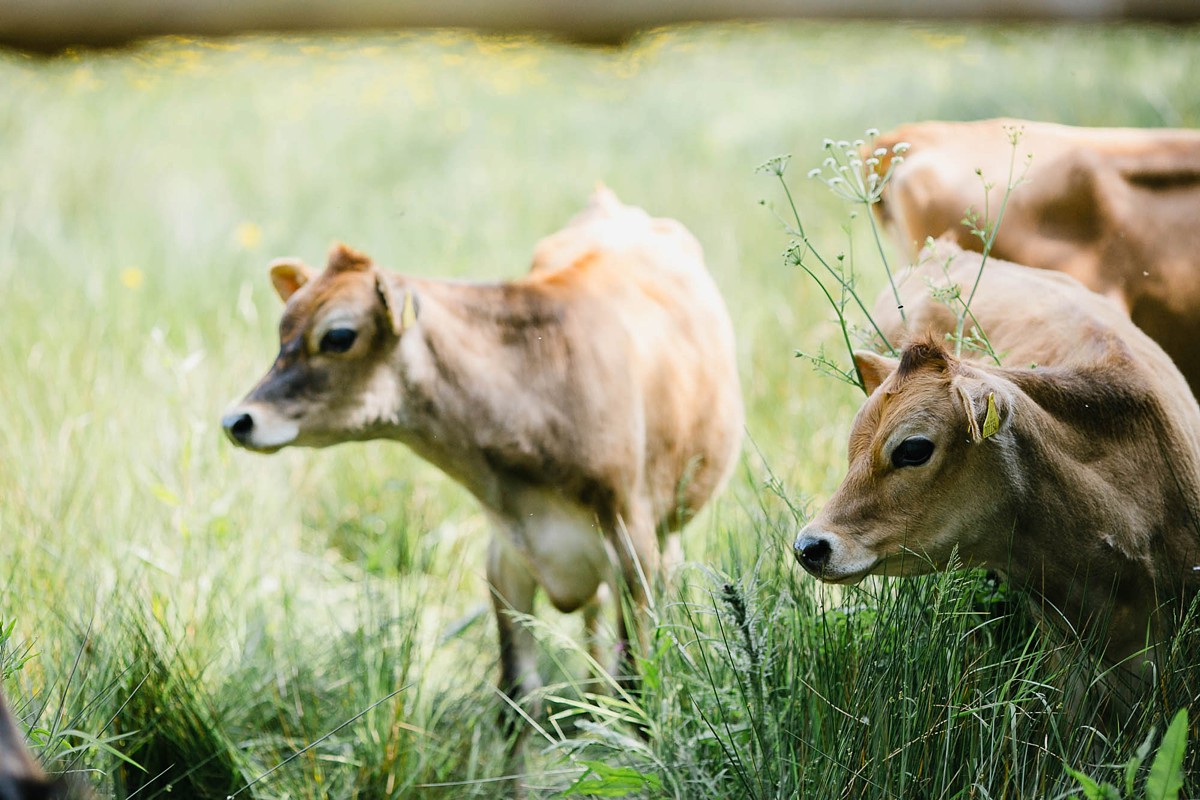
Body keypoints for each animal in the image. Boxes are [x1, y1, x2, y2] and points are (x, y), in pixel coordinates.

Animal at [223, 188, 739, 714]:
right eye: (283, 330)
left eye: (338, 336)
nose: (237, 420)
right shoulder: (506, 558)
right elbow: (518, 692)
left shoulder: (634, 549)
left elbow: (635, 682)